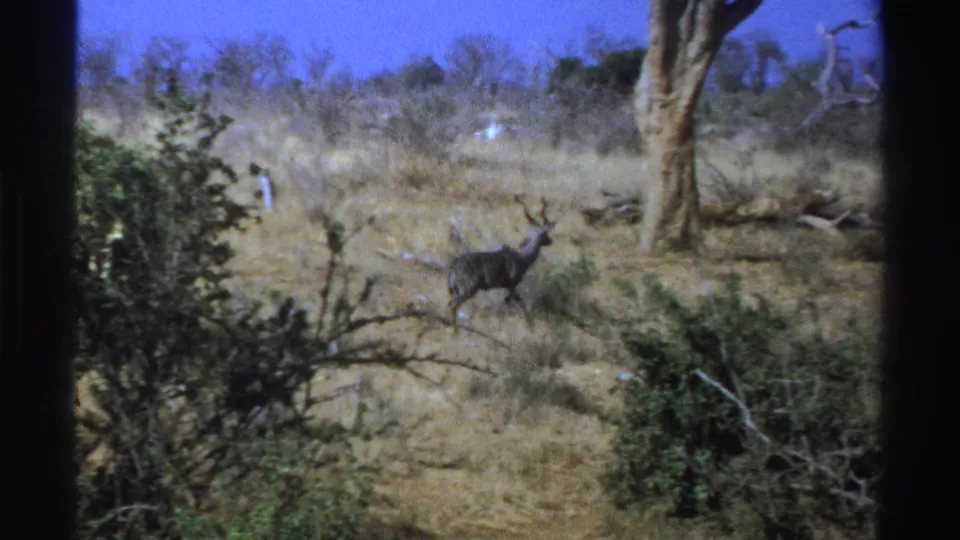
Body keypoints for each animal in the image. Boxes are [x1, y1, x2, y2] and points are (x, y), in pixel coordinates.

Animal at [447, 195, 557, 335]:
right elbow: (515, 302)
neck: (523, 259)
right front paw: (529, 326)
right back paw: (455, 332)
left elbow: (509, 302)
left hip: (457, 288)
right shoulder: (512, 283)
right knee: (454, 304)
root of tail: (453, 268)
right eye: (545, 234)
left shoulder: (506, 285)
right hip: (469, 286)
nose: (551, 241)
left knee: (450, 303)